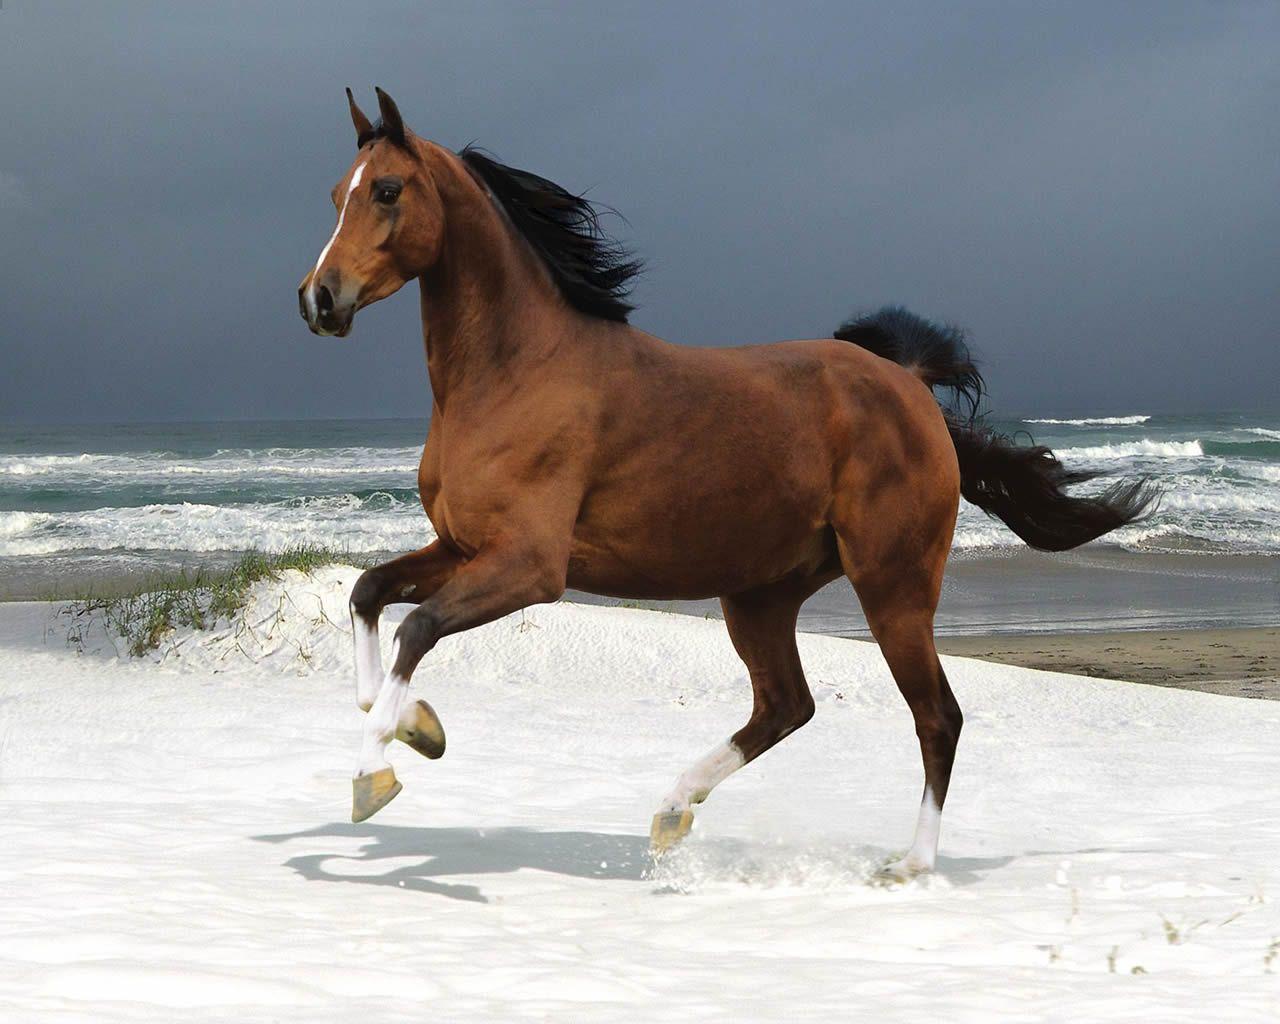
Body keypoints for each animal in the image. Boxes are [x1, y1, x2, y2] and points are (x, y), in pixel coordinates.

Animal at [297, 88, 1154, 878]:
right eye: (337, 194)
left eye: (388, 190)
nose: (319, 299)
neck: (514, 372)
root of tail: (908, 386)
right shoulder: (462, 546)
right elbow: (370, 594)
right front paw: (414, 725)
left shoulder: (530, 568)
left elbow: (416, 628)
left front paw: (375, 771)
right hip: (761, 595)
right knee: (787, 706)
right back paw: (673, 810)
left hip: (893, 586)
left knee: (937, 716)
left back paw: (909, 864)